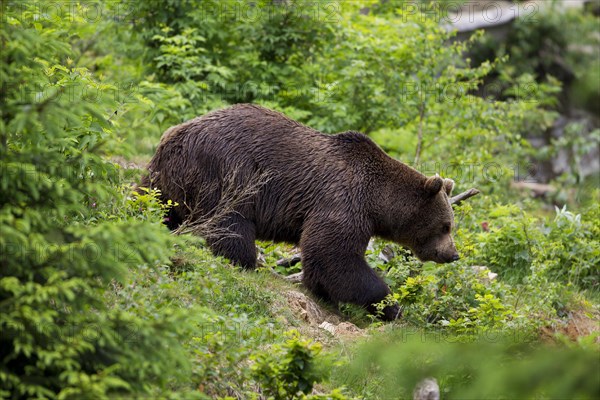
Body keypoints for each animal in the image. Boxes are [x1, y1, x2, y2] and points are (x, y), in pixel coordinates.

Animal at [144, 104, 460, 320]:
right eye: (446, 225)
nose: (453, 254)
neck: (377, 202)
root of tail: (176, 133)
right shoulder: (342, 201)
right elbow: (333, 253)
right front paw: (389, 305)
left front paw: (324, 293)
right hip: (227, 171)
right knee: (230, 221)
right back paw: (245, 261)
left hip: (163, 178)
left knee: (155, 202)